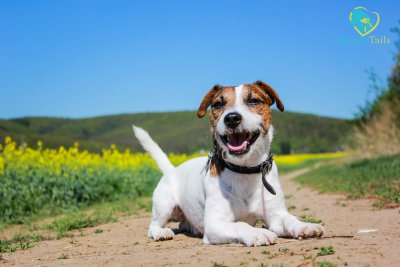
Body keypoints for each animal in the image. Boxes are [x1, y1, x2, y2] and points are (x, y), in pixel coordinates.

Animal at [134, 80, 324, 248]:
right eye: (218, 104)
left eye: (254, 100)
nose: (232, 118)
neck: (245, 170)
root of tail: (171, 170)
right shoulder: (215, 224)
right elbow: (240, 224)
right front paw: (258, 232)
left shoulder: (276, 215)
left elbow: (289, 219)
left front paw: (305, 225)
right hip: (164, 207)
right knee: (152, 226)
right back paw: (161, 233)